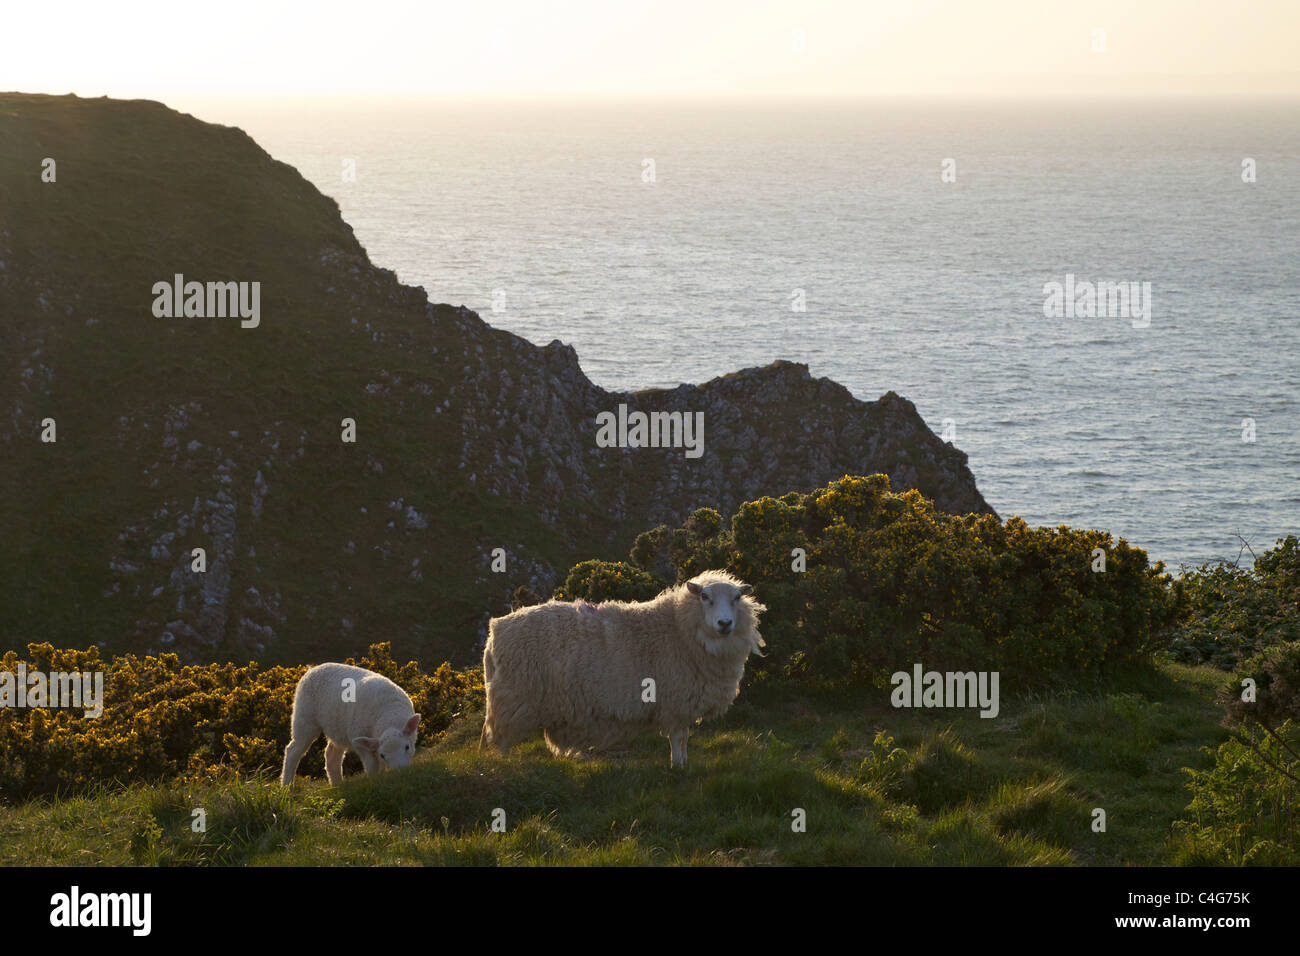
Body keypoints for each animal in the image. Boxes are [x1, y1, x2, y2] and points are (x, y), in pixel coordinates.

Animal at [279, 660, 421, 790]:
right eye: (382, 755)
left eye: (407, 747)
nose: (400, 773)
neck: (387, 716)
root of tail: (312, 669)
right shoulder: (358, 738)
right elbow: (372, 765)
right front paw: (375, 780)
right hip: (304, 716)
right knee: (293, 750)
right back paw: (287, 786)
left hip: (337, 726)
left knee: (331, 755)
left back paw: (337, 784)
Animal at [478, 567, 759, 770]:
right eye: (704, 597)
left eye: (737, 598)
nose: (725, 623)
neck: (679, 628)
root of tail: (495, 631)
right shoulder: (675, 702)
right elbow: (678, 738)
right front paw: (678, 766)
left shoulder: (680, 704)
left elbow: (685, 737)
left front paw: (683, 763)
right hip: (512, 699)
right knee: (500, 740)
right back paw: (502, 767)